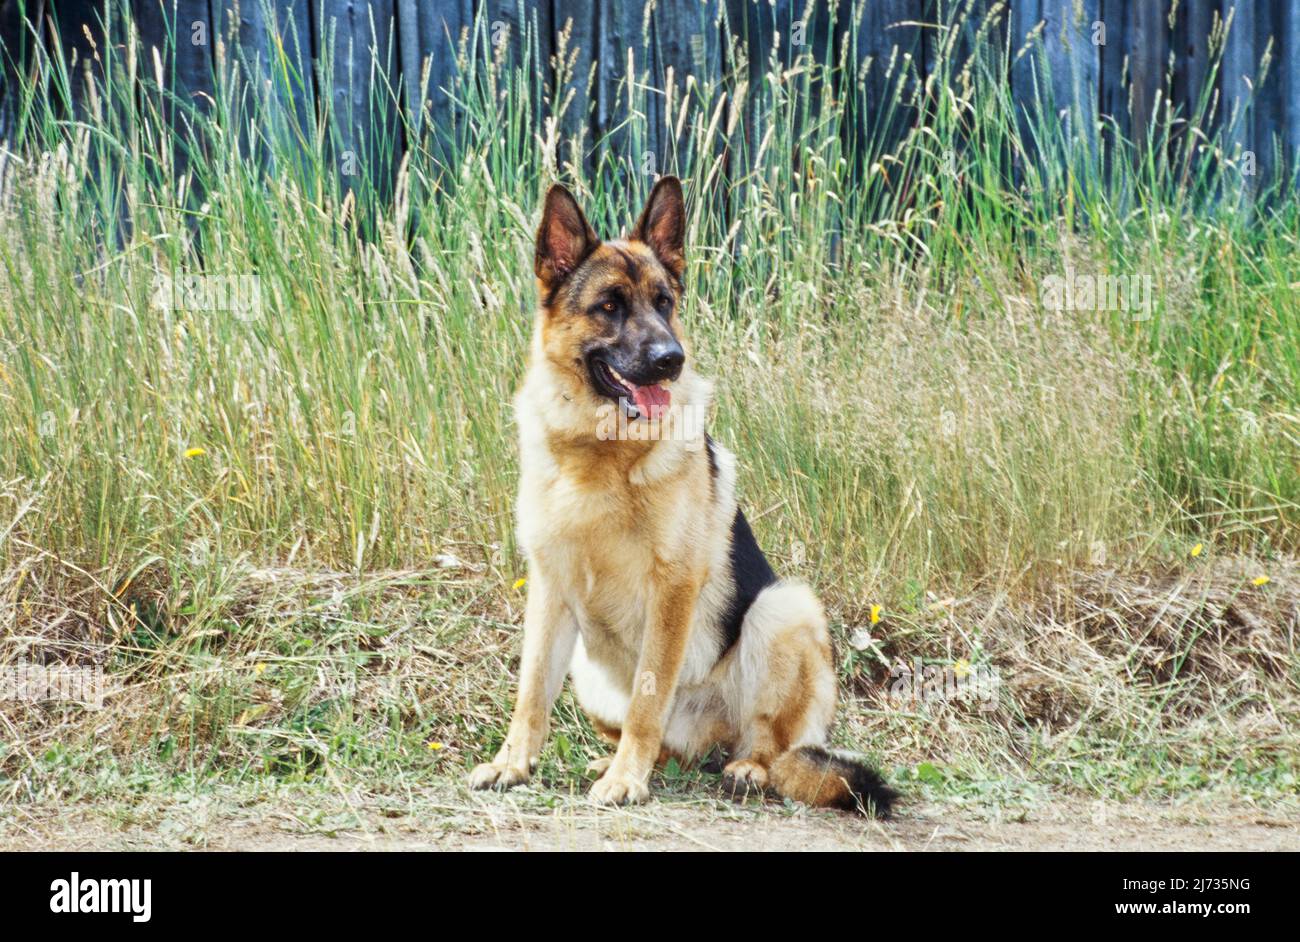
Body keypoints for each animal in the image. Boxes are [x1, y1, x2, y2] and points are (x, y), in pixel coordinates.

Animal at [467, 178, 894, 815]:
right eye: (610, 306)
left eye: (664, 301)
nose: (672, 359)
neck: (603, 453)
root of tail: (707, 744)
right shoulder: (549, 587)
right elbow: (531, 692)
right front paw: (512, 763)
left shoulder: (672, 586)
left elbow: (649, 694)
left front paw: (627, 780)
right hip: (589, 671)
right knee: (661, 741)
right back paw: (627, 759)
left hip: (784, 609)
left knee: (771, 744)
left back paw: (745, 768)